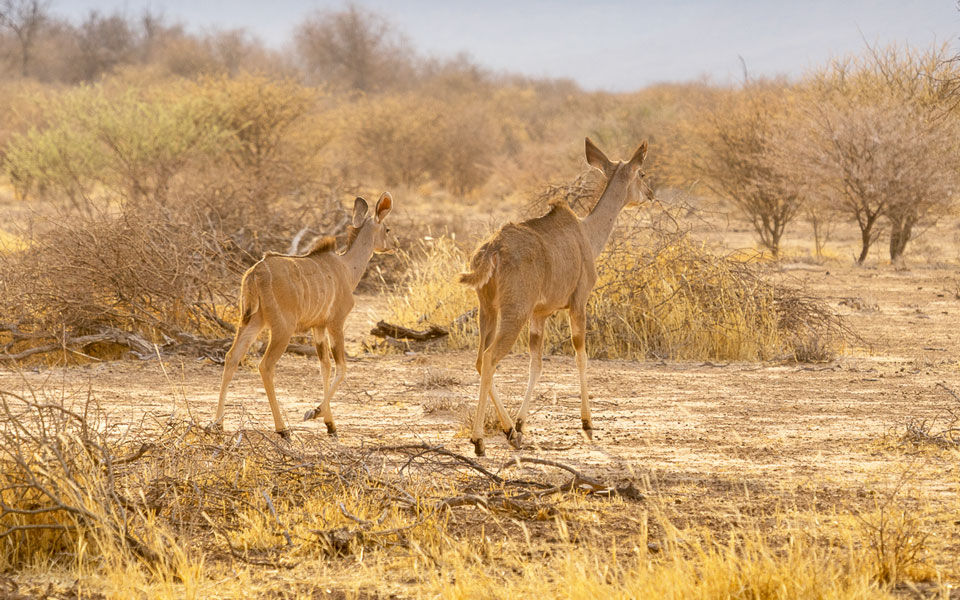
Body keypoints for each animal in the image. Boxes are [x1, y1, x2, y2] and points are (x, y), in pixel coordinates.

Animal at [212, 193, 395, 438]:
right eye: (387, 229)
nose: (394, 247)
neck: (346, 269)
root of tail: (255, 272)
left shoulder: (318, 327)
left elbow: (325, 366)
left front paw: (330, 424)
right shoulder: (336, 323)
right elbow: (341, 367)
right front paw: (315, 412)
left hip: (251, 322)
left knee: (232, 357)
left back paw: (218, 424)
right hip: (282, 329)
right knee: (265, 366)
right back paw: (282, 430)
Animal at [459, 138, 647, 456]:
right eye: (642, 174)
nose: (650, 194)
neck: (586, 234)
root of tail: (491, 250)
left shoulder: (540, 315)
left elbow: (536, 363)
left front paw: (520, 425)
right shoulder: (578, 303)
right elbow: (580, 355)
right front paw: (587, 425)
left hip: (488, 311)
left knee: (480, 360)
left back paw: (509, 431)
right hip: (514, 313)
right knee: (490, 357)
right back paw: (479, 440)